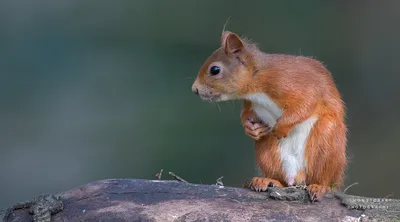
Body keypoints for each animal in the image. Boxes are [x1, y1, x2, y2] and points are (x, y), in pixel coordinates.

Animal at [191, 30, 346, 202]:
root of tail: (297, 177)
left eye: (215, 70)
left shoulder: (293, 84)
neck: (257, 80)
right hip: (267, 151)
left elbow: (305, 104)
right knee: (282, 180)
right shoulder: (250, 102)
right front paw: (250, 127)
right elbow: (246, 113)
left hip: (326, 143)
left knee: (323, 177)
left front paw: (281, 127)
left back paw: (320, 186)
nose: (194, 89)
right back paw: (267, 180)